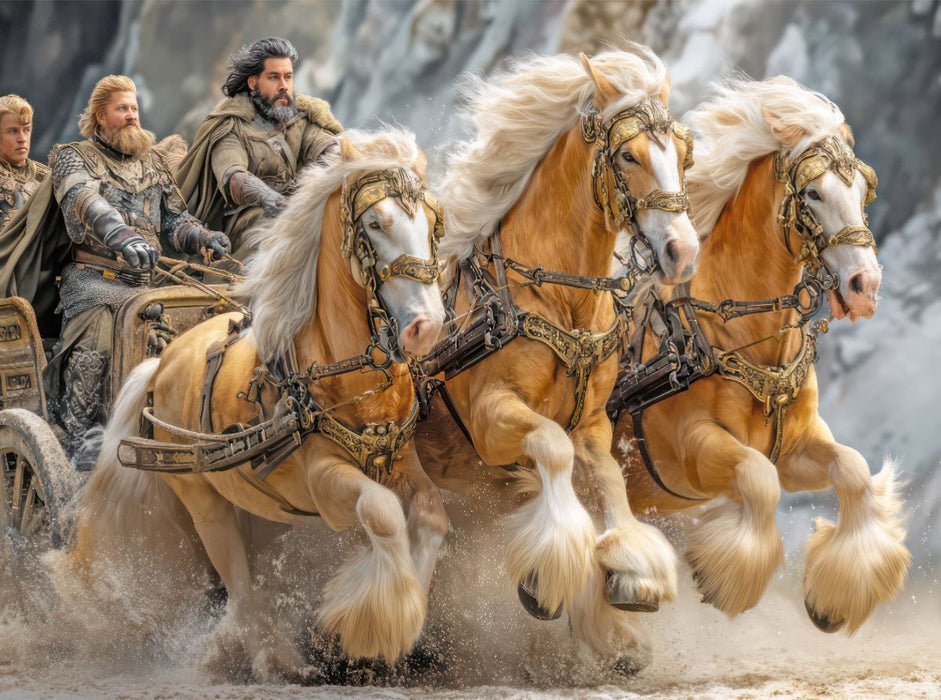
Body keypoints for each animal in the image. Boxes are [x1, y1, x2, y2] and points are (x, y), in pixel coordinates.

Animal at [61, 129, 450, 679]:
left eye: (433, 223)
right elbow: (382, 513)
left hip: (255, 505)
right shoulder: (323, 481)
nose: (426, 326)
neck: (340, 367)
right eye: (375, 224)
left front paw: (408, 619)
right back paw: (272, 659)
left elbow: (431, 517)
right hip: (204, 503)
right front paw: (376, 625)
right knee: (240, 586)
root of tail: (160, 363)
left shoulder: (401, 459)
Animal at [415, 45, 700, 668]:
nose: (683, 252)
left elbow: (608, 479)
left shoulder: (592, 421)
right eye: (628, 154)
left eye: (682, 154)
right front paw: (549, 573)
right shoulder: (492, 417)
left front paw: (631, 579)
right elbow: (552, 448)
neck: (559, 298)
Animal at [612, 76, 911, 634]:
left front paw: (835, 598)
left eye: (861, 191)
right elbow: (757, 479)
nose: (865, 286)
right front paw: (726, 579)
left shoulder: (794, 447)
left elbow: (853, 471)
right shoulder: (691, 447)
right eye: (813, 193)